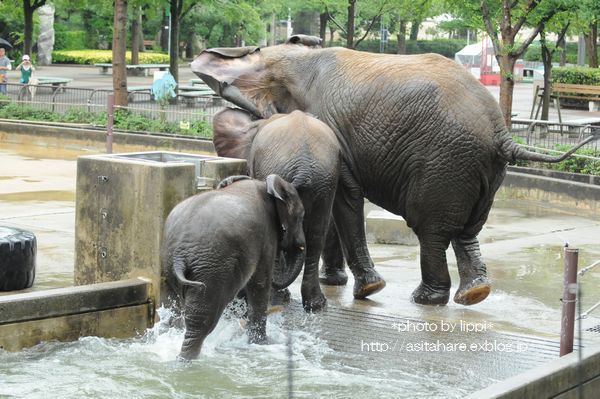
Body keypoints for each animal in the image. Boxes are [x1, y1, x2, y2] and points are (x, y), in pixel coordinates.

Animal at [161, 175, 304, 362]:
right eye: (301, 216)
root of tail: (179, 255)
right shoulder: (267, 235)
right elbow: (260, 284)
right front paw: (261, 343)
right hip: (210, 269)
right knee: (201, 322)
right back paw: (187, 359)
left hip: (173, 265)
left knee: (176, 310)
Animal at [212, 108, 342, 312]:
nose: (226, 182)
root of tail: (304, 165)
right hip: (326, 181)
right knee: (316, 235)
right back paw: (316, 305)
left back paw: (276, 299)